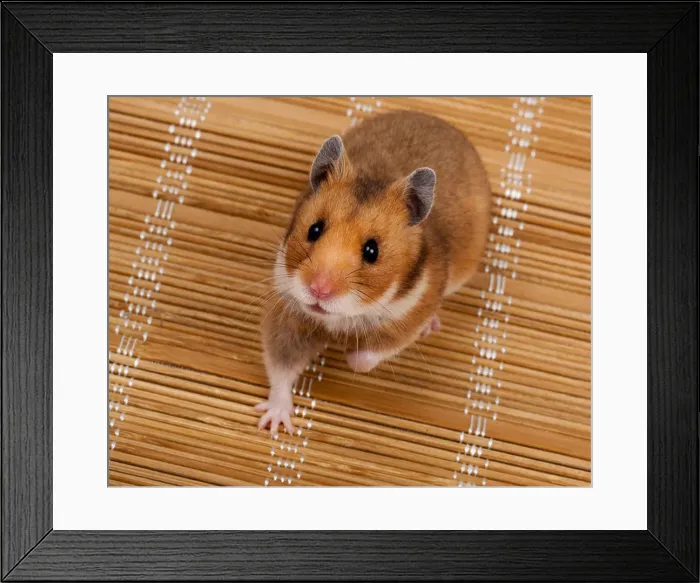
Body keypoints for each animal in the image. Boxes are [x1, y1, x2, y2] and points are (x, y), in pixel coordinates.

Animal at [255, 110, 492, 434]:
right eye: (314, 229)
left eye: (372, 251)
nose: (318, 290)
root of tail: (440, 121)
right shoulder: (288, 312)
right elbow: (280, 367)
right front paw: (275, 424)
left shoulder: (409, 314)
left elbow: (369, 355)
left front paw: (346, 353)